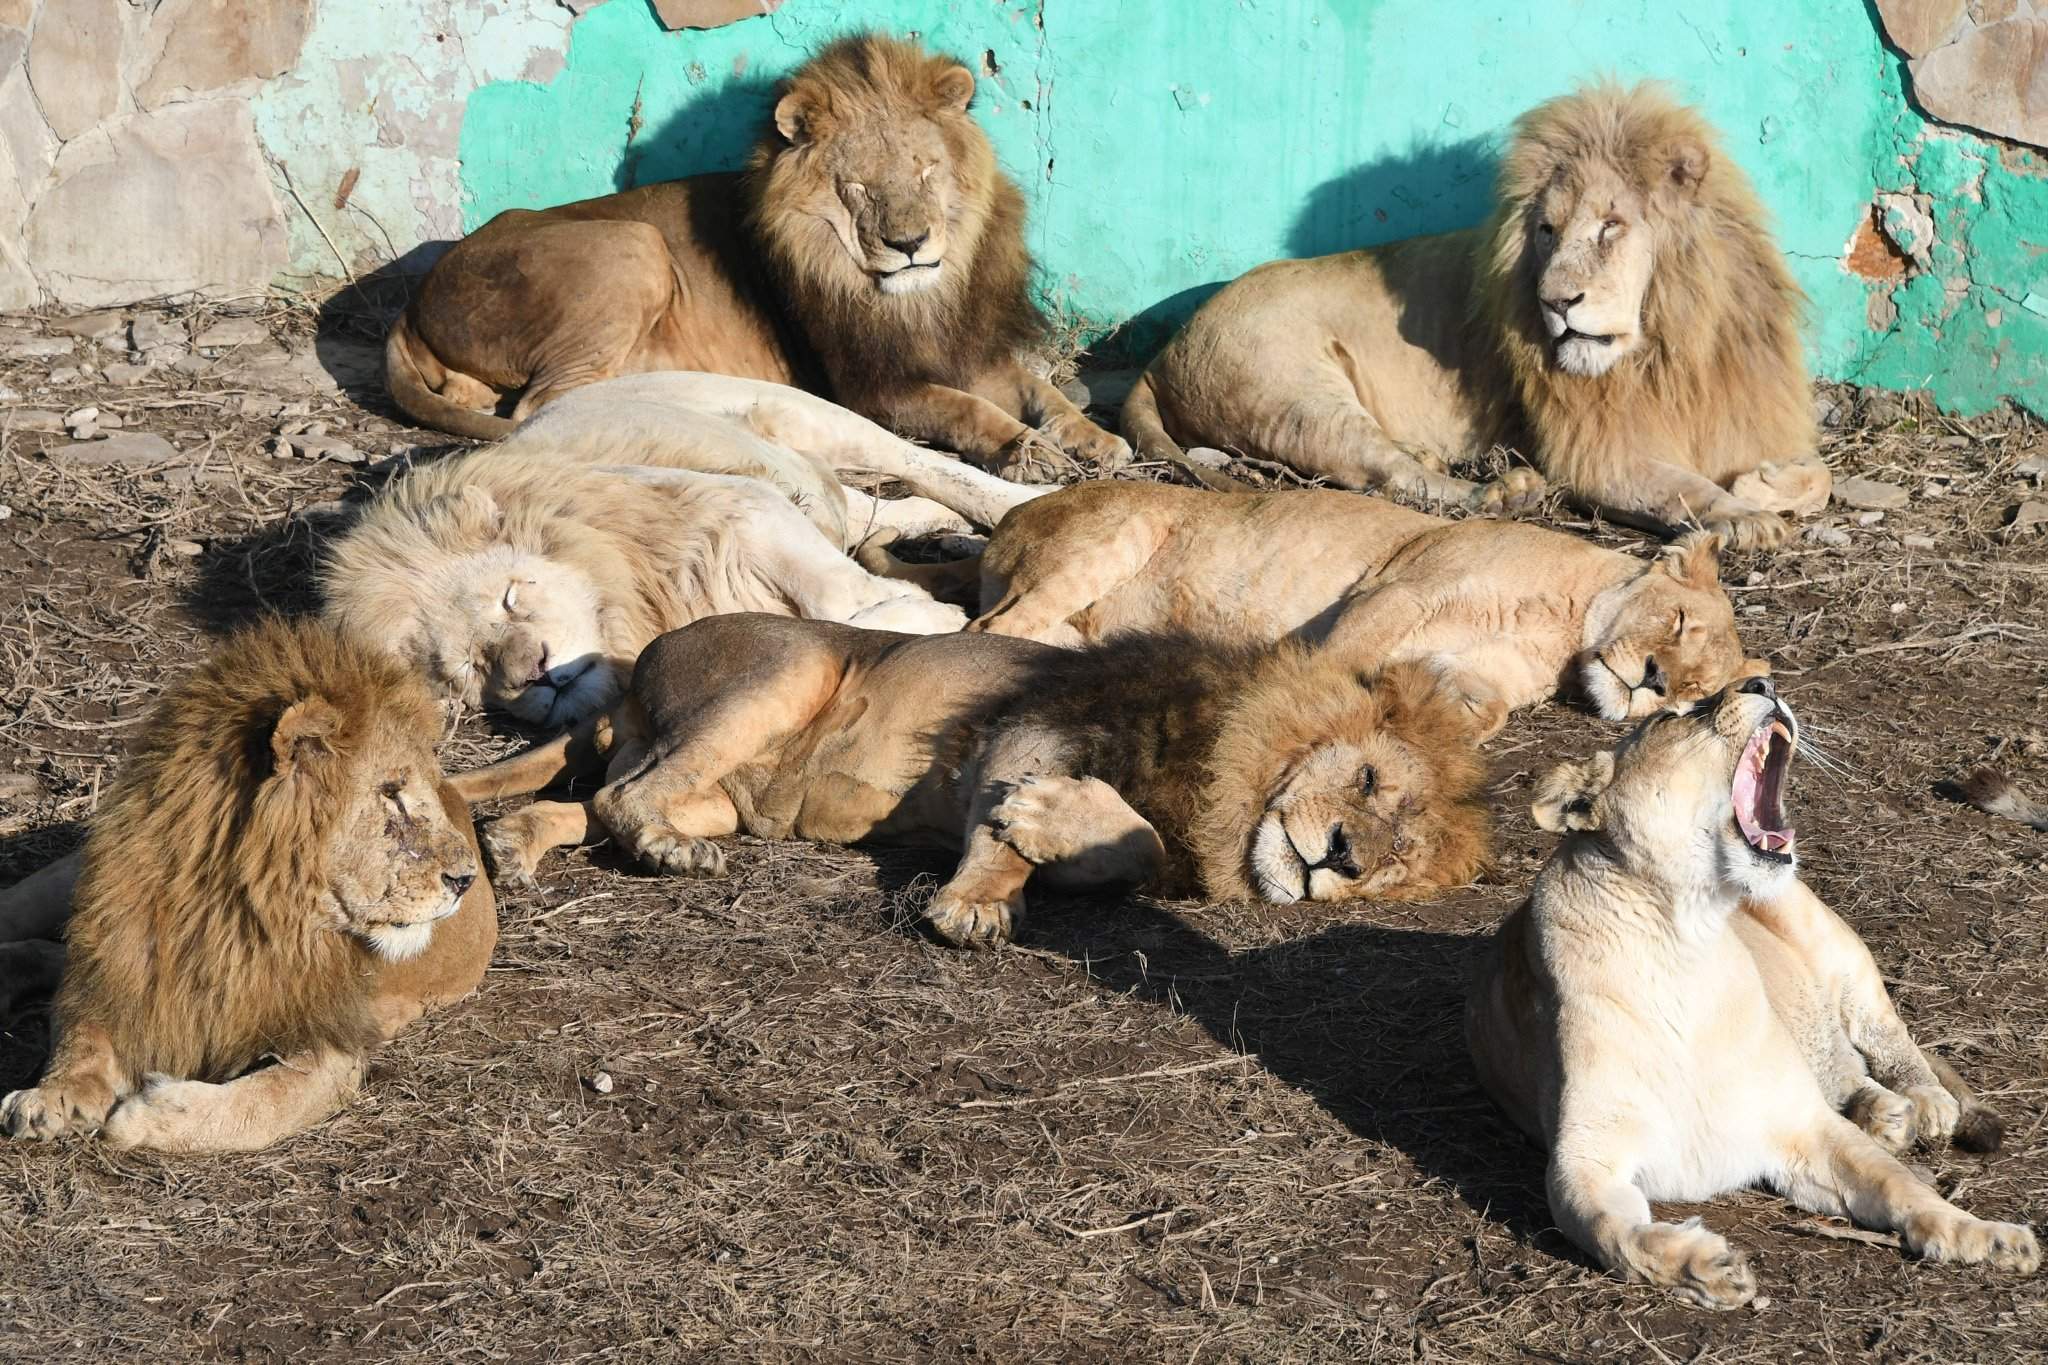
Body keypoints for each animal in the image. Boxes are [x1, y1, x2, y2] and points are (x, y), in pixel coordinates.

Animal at [0, 618, 495, 1154]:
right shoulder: (122, 968)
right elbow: (81, 1034)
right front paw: (54, 1095)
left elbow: (259, 1103)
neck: (238, 912)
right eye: (391, 792)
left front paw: (149, 1113)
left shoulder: (330, 1048)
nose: (465, 878)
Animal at [385, 31, 1122, 482]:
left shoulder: (967, 345)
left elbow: (1041, 391)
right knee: (542, 406)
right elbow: (967, 410)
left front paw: (1095, 437)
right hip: (634, 245)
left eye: (925, 169)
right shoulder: (871, 387)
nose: (909, 245)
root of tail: (414, 300)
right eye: (857, 186)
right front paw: (1026, 450)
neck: (920, 298)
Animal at [456, 613, 1499, 945]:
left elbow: (1128, 847)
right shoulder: (1032, 727)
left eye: (1398, 861)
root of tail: (636, 665)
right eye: (1369, 780)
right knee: (621, 798)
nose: (1345, 860)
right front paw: (981, 899)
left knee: (593, 801)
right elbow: (1034, 826)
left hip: (717, 790)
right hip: (784, 668)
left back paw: (515, 843)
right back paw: (667, 852)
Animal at [1122, 80, 1826, 548]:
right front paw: (1745, 513)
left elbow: (1816, 475)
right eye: (1546, 230)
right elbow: (1686, 490)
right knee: (1390, 476)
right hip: (1297, 395)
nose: (1556, 302)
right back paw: (1504, 490)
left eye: (1610, 227)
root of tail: (1162, 352)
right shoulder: (1597, 456)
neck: (1671, 344)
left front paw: (1763, 482)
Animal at [1466, 679, 2039, 1309]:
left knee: (1884, 1036)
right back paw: (1886, 1114)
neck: (1685, 937)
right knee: (1843, 1064)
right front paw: (1707, 1267)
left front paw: (1988, 1237)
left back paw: (1926, 1103)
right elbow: (1611, 1230)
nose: (1762, 682)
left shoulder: (1804, 1125)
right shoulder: (1583, 1157)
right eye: (1671, 717)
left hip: (1836, 947)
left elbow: (1902, 1189)